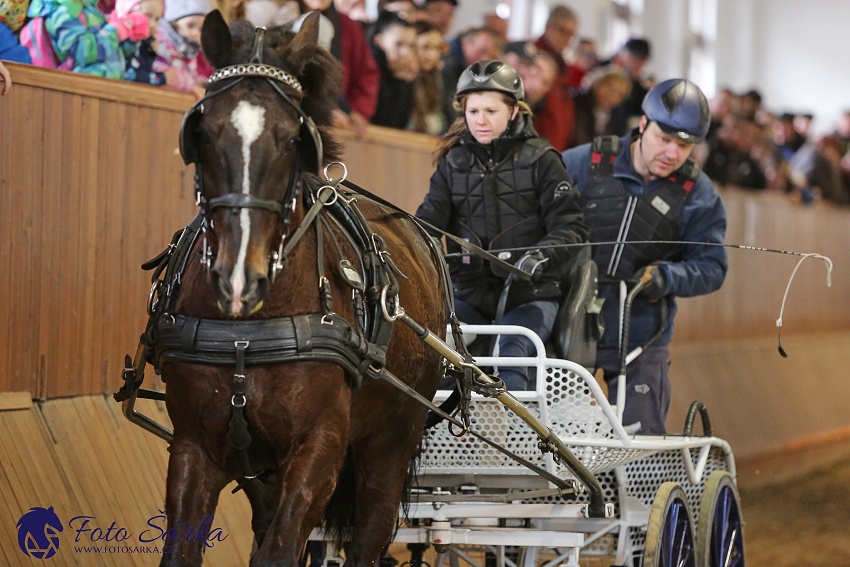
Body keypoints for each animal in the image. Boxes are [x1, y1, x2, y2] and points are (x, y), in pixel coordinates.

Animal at [152, 10, 444, 567]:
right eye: (204, 132)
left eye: (292, 139)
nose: (239, 277)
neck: (247, 332)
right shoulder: (195, 444)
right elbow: (183, 549)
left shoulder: (319, 446)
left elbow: (283, 549)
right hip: (261, 469)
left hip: (389, 445)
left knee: (369, 535)